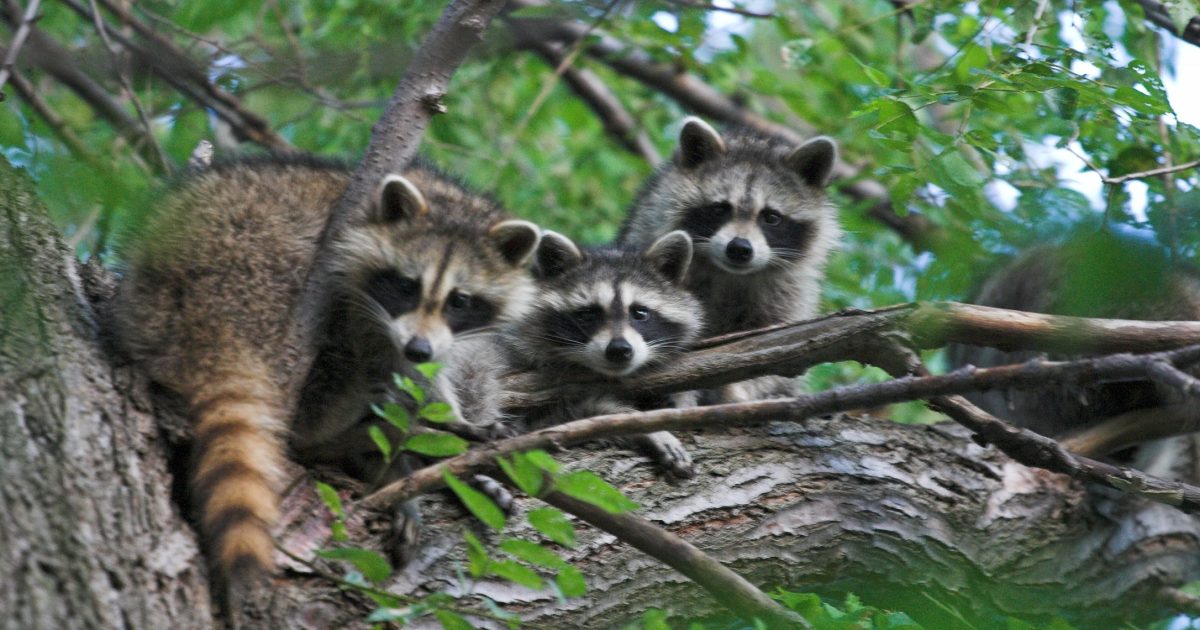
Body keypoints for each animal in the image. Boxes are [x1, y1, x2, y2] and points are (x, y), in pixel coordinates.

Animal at [111, 157, 540, 588]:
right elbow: (393, 359)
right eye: (406, 285)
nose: (418, 348)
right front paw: (447, 429)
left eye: (460, 300)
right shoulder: (359, 289)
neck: (445, 198)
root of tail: (205, 309)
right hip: (269, 269)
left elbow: (428, 373)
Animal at [619, 117, 840, 402]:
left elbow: (781, 341)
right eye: (720, 208)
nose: (739, 249)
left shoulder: (788, 292)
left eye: (771, 217)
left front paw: (740, 389)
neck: (731, 274)